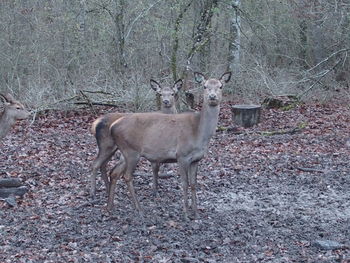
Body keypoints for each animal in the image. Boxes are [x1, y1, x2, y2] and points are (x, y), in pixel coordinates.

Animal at [106, 71, 232, 219]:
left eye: (221, 86)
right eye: (205, 86)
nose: (212, 96)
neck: (199, 133)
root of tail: (113, 126)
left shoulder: (196, 159)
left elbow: (194, 184)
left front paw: (196, 212)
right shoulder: (182, 155)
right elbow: (185, 183)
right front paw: (186, 213)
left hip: (124, 153)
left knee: (114, 172)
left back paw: (110, 206)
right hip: (131, 150)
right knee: (126, 176)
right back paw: (139, 209)